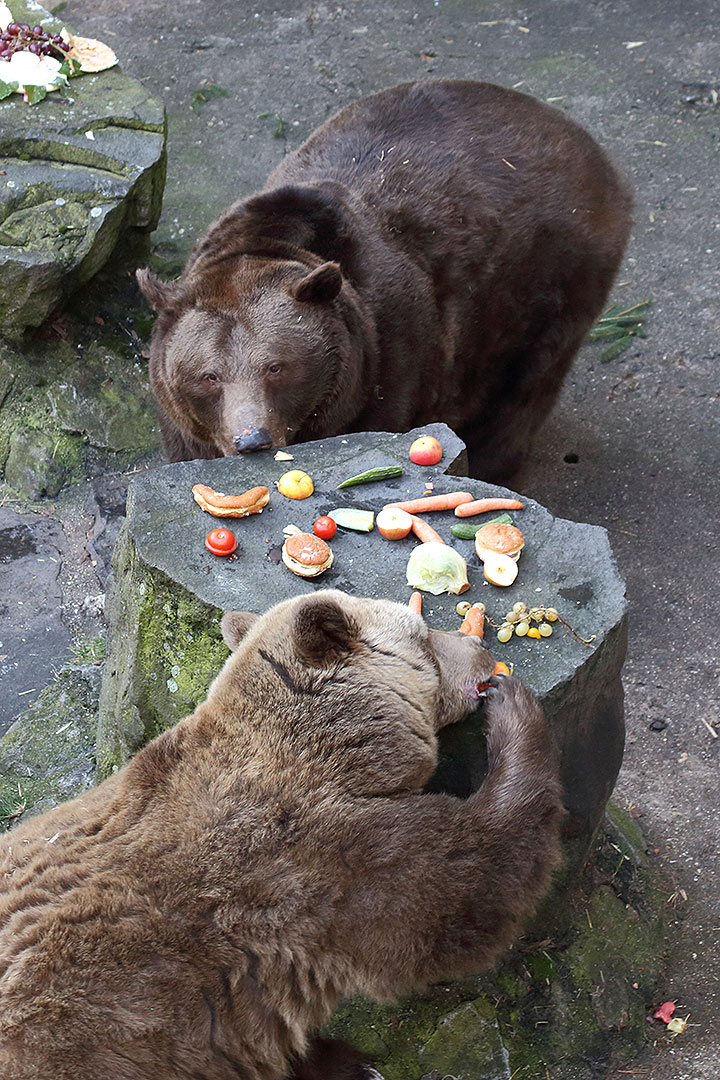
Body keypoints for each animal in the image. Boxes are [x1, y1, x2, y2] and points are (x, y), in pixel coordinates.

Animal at [0, 591, 561, 1080]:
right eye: (423, 634)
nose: (482, 653)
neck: (338, 748)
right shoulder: (312, 862)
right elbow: (469, 887)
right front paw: (515, 711)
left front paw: (340, 1059)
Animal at [134, 77, 630, 481]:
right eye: (209, 376)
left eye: (276, 366)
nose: (252, 439)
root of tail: (578, 135)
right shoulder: (184, 424)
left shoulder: (391, 358)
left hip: (555, 279)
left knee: (525, 387)